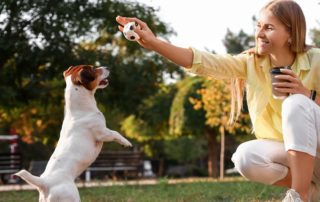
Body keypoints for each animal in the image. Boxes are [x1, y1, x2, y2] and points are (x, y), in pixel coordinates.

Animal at [14, 65, 132, 201]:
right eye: (93, 68)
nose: (107, 67)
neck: (80, 109)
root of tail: (45, 184)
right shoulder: (102, 132)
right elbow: (116, 133)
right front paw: (126, 143)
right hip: (71, 197)